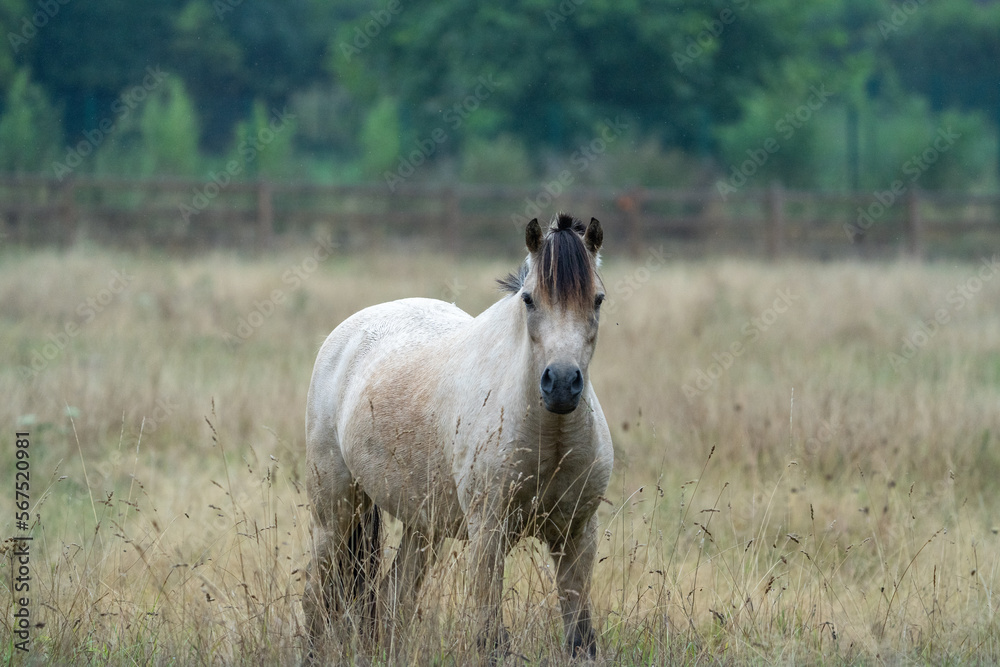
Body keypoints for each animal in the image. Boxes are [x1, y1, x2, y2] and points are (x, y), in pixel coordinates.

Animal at [304, 213, 614, 660]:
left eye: (598, 300)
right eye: (529, 300)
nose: (560, 384)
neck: (548, 436)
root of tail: (346, 334)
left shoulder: (577, 534)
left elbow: (580, 640)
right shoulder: (488, 533)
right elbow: (491, 638)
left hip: (423, 526)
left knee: (394, 594)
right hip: (334, 511)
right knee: (317, 595)